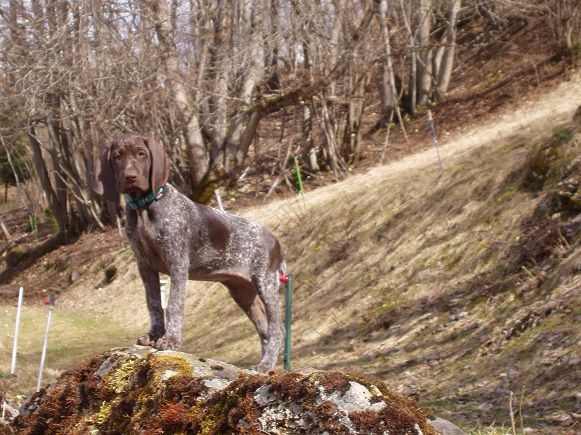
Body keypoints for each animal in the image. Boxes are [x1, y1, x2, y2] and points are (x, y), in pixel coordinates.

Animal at [93, 133, 286, 372]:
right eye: (117, 156)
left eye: (141, 153)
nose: (130, 177)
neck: (145, 207)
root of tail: (275, 240)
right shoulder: (144, 266)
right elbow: (154, 304)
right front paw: (154, 335)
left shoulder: (177, 263)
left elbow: (173, 305)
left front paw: (170, 340)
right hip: (242, 292)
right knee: (265, 330)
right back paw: (264, 363)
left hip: (265, 283)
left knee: (277, 329)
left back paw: (266, 365)